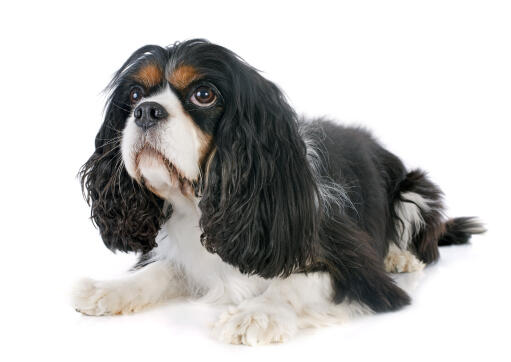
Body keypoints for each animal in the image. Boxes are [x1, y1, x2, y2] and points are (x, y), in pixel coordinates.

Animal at [71, 39, 484, 346]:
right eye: (135, 94)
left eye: (204, 94)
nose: (146, 111)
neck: (201, 204)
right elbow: (159, 271)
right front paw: (110, 290)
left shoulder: (357, 268)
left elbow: (299, 282)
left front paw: (257, 312)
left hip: (416, 190)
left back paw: (401, 256)